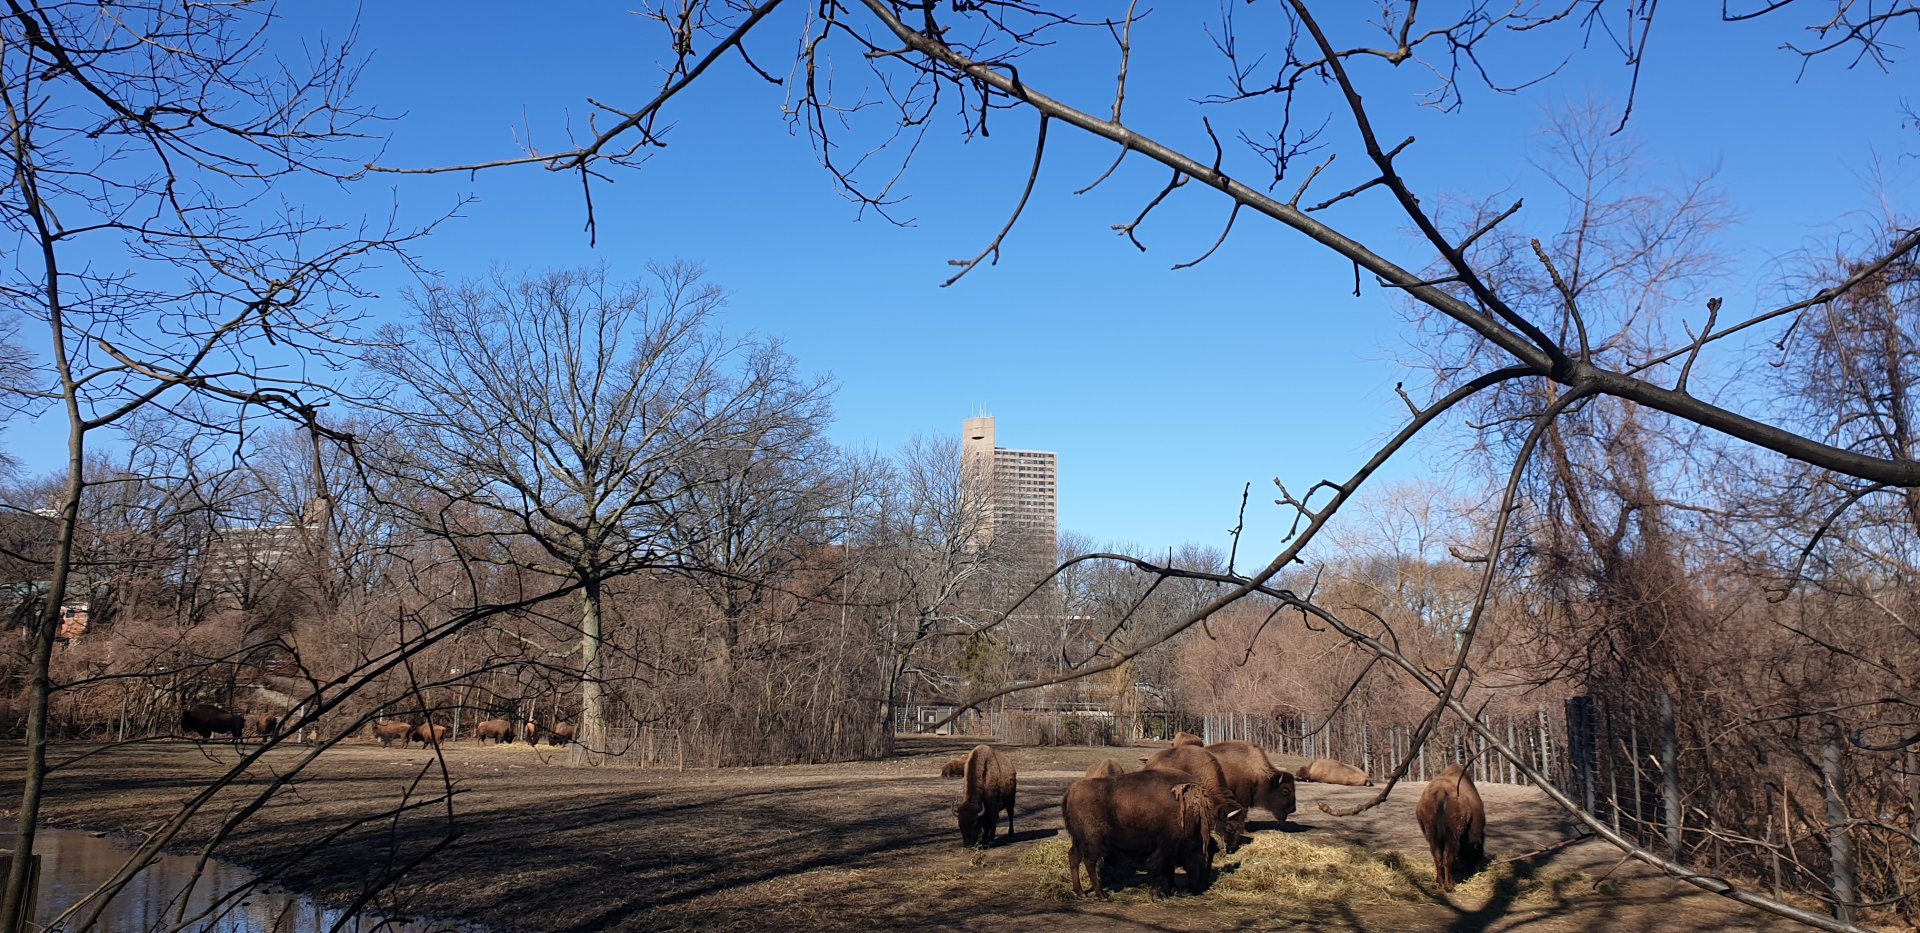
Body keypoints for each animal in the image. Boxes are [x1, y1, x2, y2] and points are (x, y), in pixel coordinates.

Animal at [1064, 768, 1230, 899]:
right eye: (1205, 855)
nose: (1202, 886)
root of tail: (1070, 792)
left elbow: (1168, 870)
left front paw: (1172, 890)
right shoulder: (1165, 848)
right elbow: (1158, 867)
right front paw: (1157, 895)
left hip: (1078, 841)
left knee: (1074, 857)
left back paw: (1081, 893)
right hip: (1094, 842)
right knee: (1090, 862)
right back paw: (1102, 895)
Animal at [1416, 763, 1486, 892]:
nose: (1477, 869)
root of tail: (1441, 792)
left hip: (1431, 834)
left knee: (1437, 857)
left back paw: (1438, 883)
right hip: (1452, 835)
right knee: (1448, 858)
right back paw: (1449, 886)